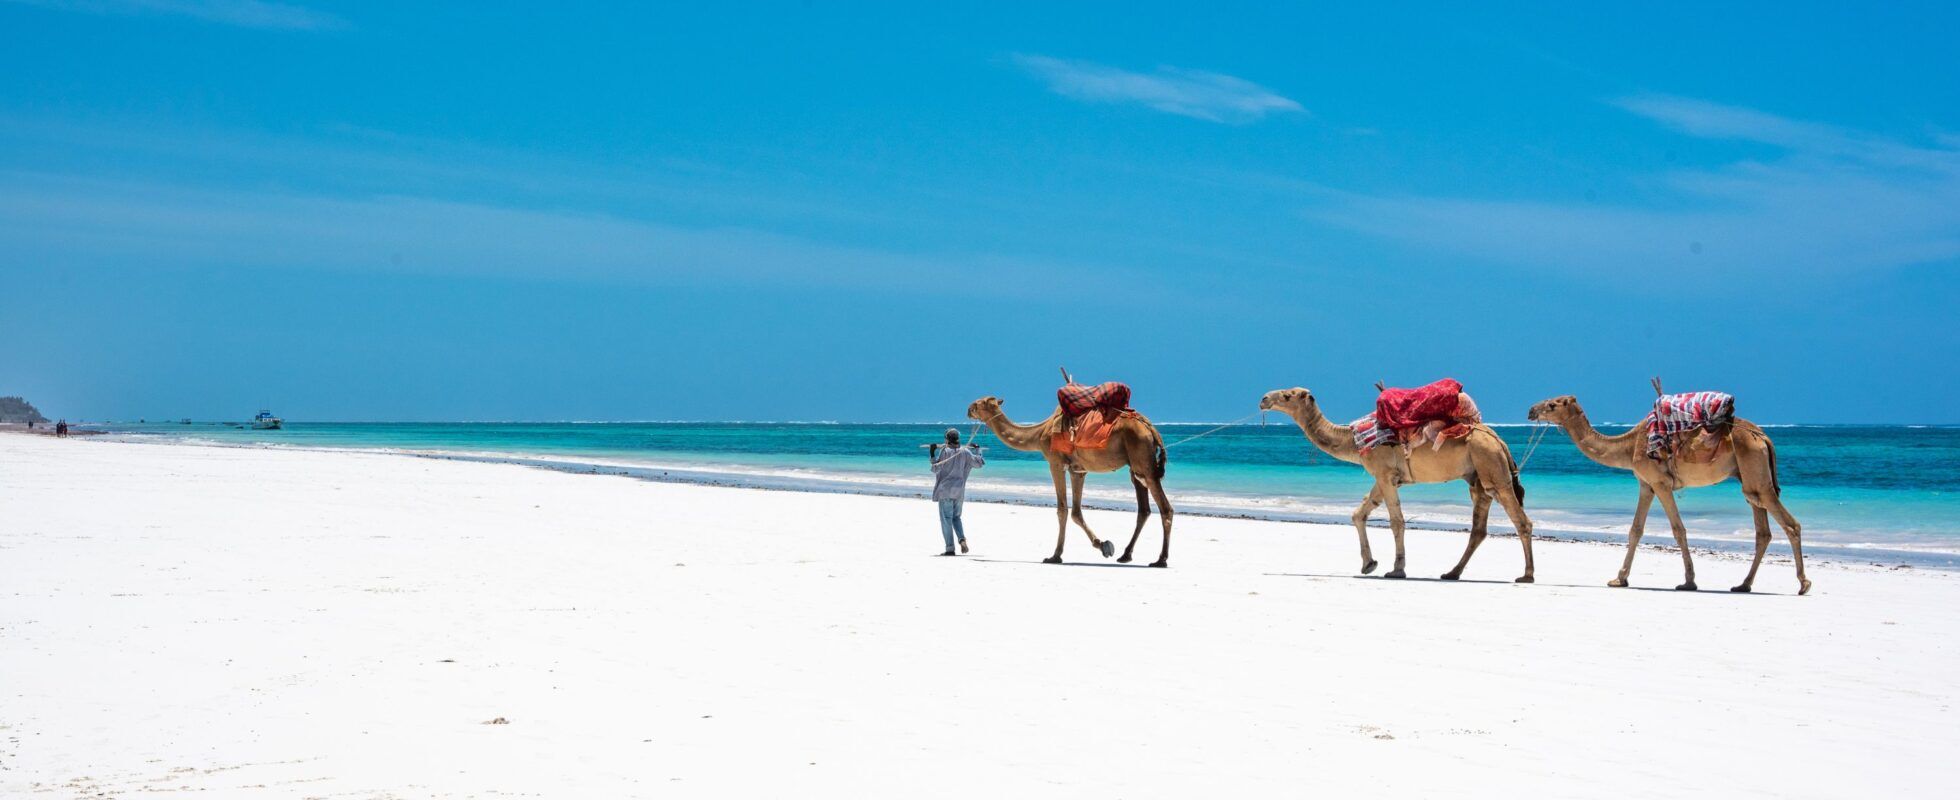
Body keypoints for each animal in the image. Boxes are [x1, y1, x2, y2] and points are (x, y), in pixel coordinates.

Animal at [968, 372, 1168, 564]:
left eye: (979, 403)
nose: (968, 409)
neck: (1039, 433)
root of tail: (1150, 428)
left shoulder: (1056, 463)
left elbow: (1062, 510)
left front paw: (1055, 556)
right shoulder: (1077, 470)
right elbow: (1076, 512)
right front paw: (1104, 546)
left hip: (1143, 459)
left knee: (1165, 508)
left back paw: (1160, 559)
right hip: (1136, 466)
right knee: (1144, 510)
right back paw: (1126, 555)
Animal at [1262, 380, 1536, 580]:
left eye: (1288, 395)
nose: (1264, 399)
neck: (1353, 439)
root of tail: (1499, 441)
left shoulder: (1384, 473)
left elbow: (1396, 521)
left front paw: (1396, 570)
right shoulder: (1386, 477)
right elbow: (1359, 513)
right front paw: (1369, 564)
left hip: (1491, 467)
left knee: (1521, 520)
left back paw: (1526, 575)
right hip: (1478, 478)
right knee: (1478, 529)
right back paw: (1451, 573)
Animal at [1520, 384, 1811, 596]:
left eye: (1552, 404)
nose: (1531, 410)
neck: (1628, 445)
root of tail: (1764, 437)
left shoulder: (1660, 483)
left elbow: (1678, 529)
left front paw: (1689, 582)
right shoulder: (1645, 484)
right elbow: (1635, 530)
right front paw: (1619, 579)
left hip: (1756, 472)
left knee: (1791, 524)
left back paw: (1803, 583)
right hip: (1749, 478)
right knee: (1762, 529)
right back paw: (1743, 585)